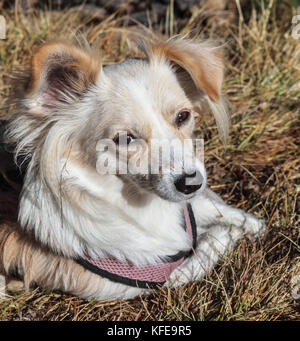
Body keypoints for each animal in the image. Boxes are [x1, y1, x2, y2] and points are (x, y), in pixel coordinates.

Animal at [0, 35, 268, 298]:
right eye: (125, 139)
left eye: (183, 116)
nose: (192, 183)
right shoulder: (147, 279)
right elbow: (208, 248)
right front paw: (231, 235)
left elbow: (223, 215)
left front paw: (254, 226)